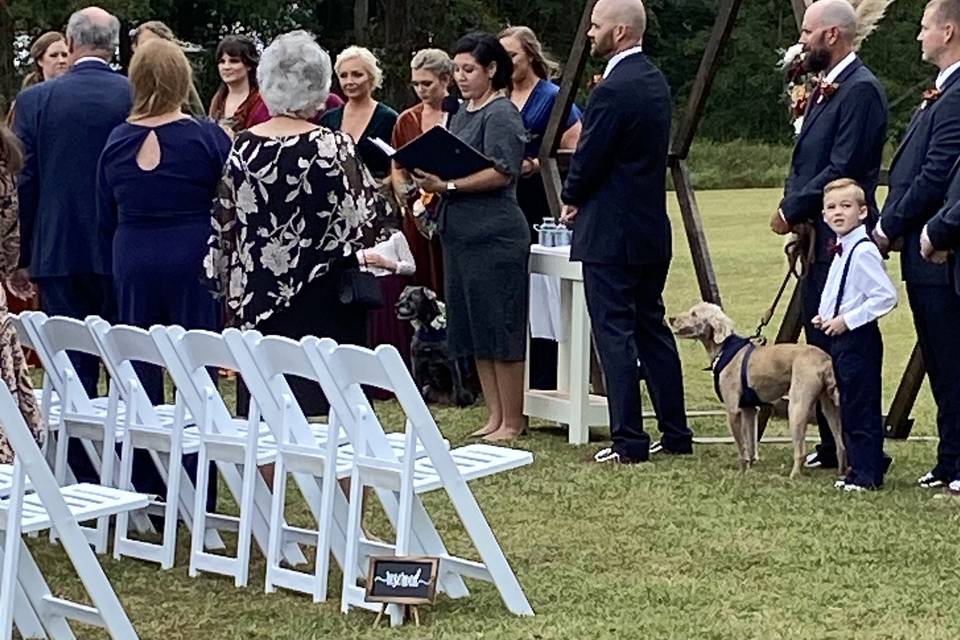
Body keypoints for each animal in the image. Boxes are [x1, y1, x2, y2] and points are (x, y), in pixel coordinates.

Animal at [672, 302, 844, 478]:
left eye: (694, 314)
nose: (671, 318)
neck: (724, 348)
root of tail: (825, 360)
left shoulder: (733, 411)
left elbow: (741, 446)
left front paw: (742, 470)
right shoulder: (750, 410)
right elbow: (751, 441)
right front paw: (751, 465)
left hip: (797, 406)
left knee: (801, 451)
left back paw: (793, 476)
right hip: (830, 407)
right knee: (841, 446)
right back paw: (841, 473)